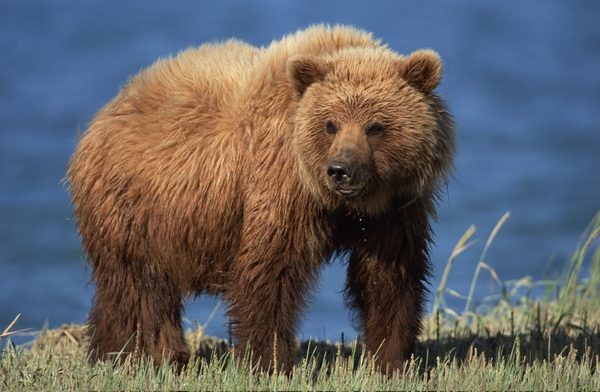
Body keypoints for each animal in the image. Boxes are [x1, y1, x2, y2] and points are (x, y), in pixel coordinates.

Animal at [67, 24, 454, 374]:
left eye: (375, 126)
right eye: (330, 124)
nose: (340, 170)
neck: (341, 203)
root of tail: (105, 112)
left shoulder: (395, 208)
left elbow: (388, 277)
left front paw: (392, 360)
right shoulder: (280, 185)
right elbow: (270, 271)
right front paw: (269, 362)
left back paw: (120, 353)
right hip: (134, 207)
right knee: (138, 287)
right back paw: (145, 356)